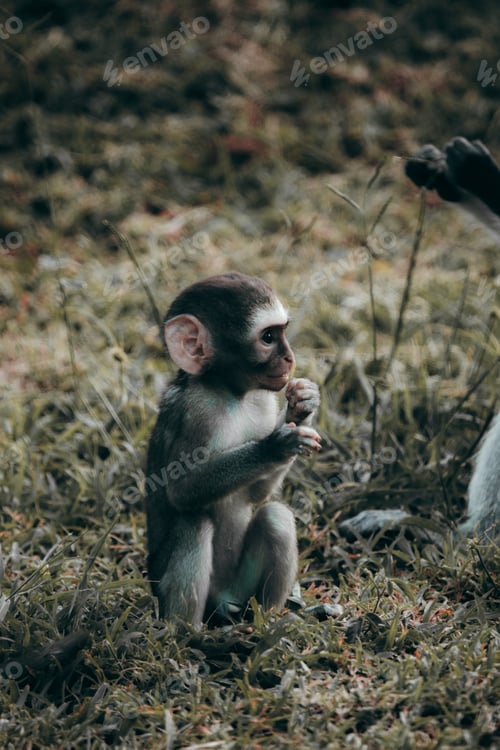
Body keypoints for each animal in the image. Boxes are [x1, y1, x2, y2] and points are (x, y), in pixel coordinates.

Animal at [145, 272, 321, 626]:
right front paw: (274, 446)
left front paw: (302, 406)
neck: (229, 392)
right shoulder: (196, 411)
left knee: (275, 516)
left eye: (282, 331)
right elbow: (182, 490)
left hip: (241, 589)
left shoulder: (264, 401)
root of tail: (223, 601)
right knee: (193, 523)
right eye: (268, 337)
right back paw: (186, 631)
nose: (289, 358)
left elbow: (257, 496)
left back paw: (266, 620)